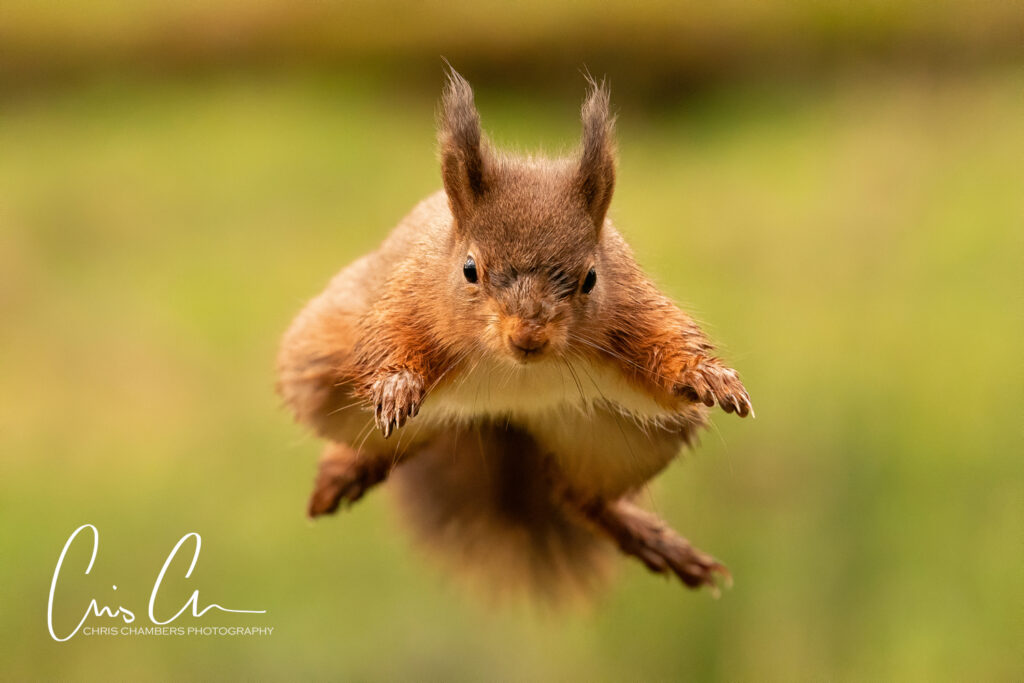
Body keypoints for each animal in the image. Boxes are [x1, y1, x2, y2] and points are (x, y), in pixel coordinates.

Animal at [277, 69, 753, 601]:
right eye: (469, 269)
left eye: (590, 278)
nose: (528, 337)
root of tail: (498, 416)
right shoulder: (409, 297)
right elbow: (390, 337)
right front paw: (397, 384)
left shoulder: (631, 310)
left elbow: (669, 341)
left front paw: (709, 376)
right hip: (323, 373)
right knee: (386, 441)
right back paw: (345, 471)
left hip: (629, 439)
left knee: (578, 498)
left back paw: (647, 538)